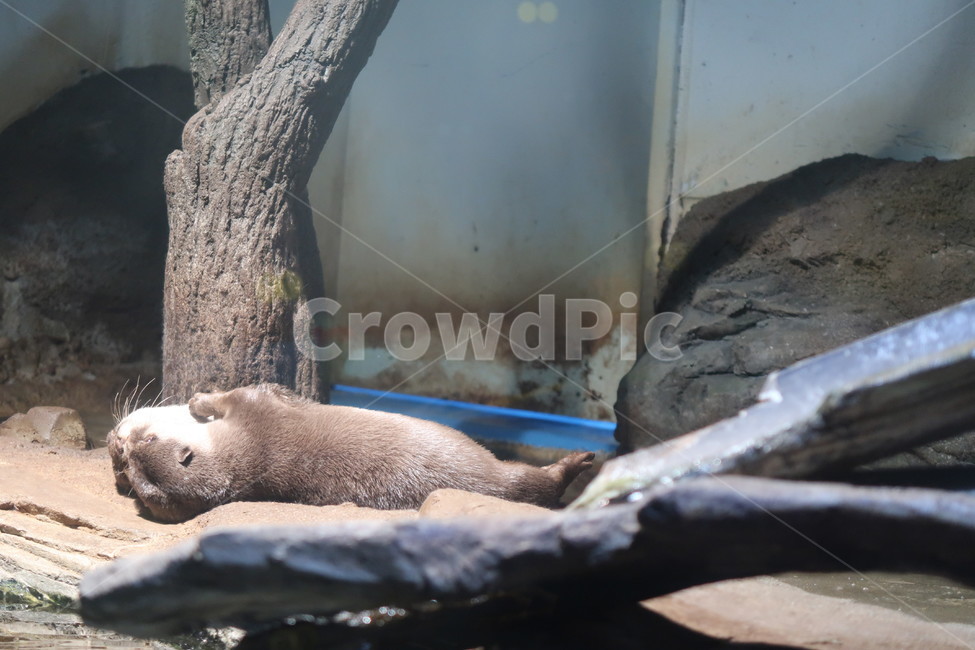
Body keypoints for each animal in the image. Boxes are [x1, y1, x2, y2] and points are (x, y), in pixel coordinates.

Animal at [107, 384, 595, 523]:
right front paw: (200, 399)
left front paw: (197, 399)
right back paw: (579, 462)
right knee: (536, 487)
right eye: (130, 474)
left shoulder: (259, 409)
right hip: (495, 474)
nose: (115, 448)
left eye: (144, 445)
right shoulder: (260, 409)